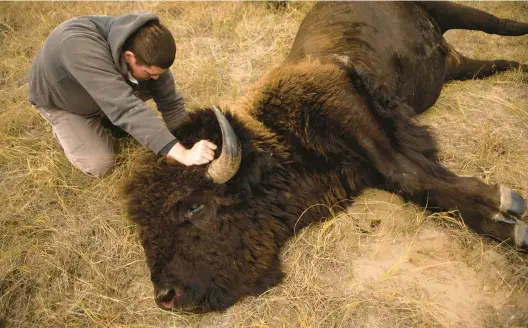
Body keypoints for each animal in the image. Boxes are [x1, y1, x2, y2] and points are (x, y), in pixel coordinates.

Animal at [124, 1, 528, 314]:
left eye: (194, 206)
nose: (166, 296)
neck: (278, 138)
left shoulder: (356, 118)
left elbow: (410, 174)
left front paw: (508, 209)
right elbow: (420, 185)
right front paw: (505, 218)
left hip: (450, 11)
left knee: (503, 25)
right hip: (456, 66)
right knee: (495, 61)